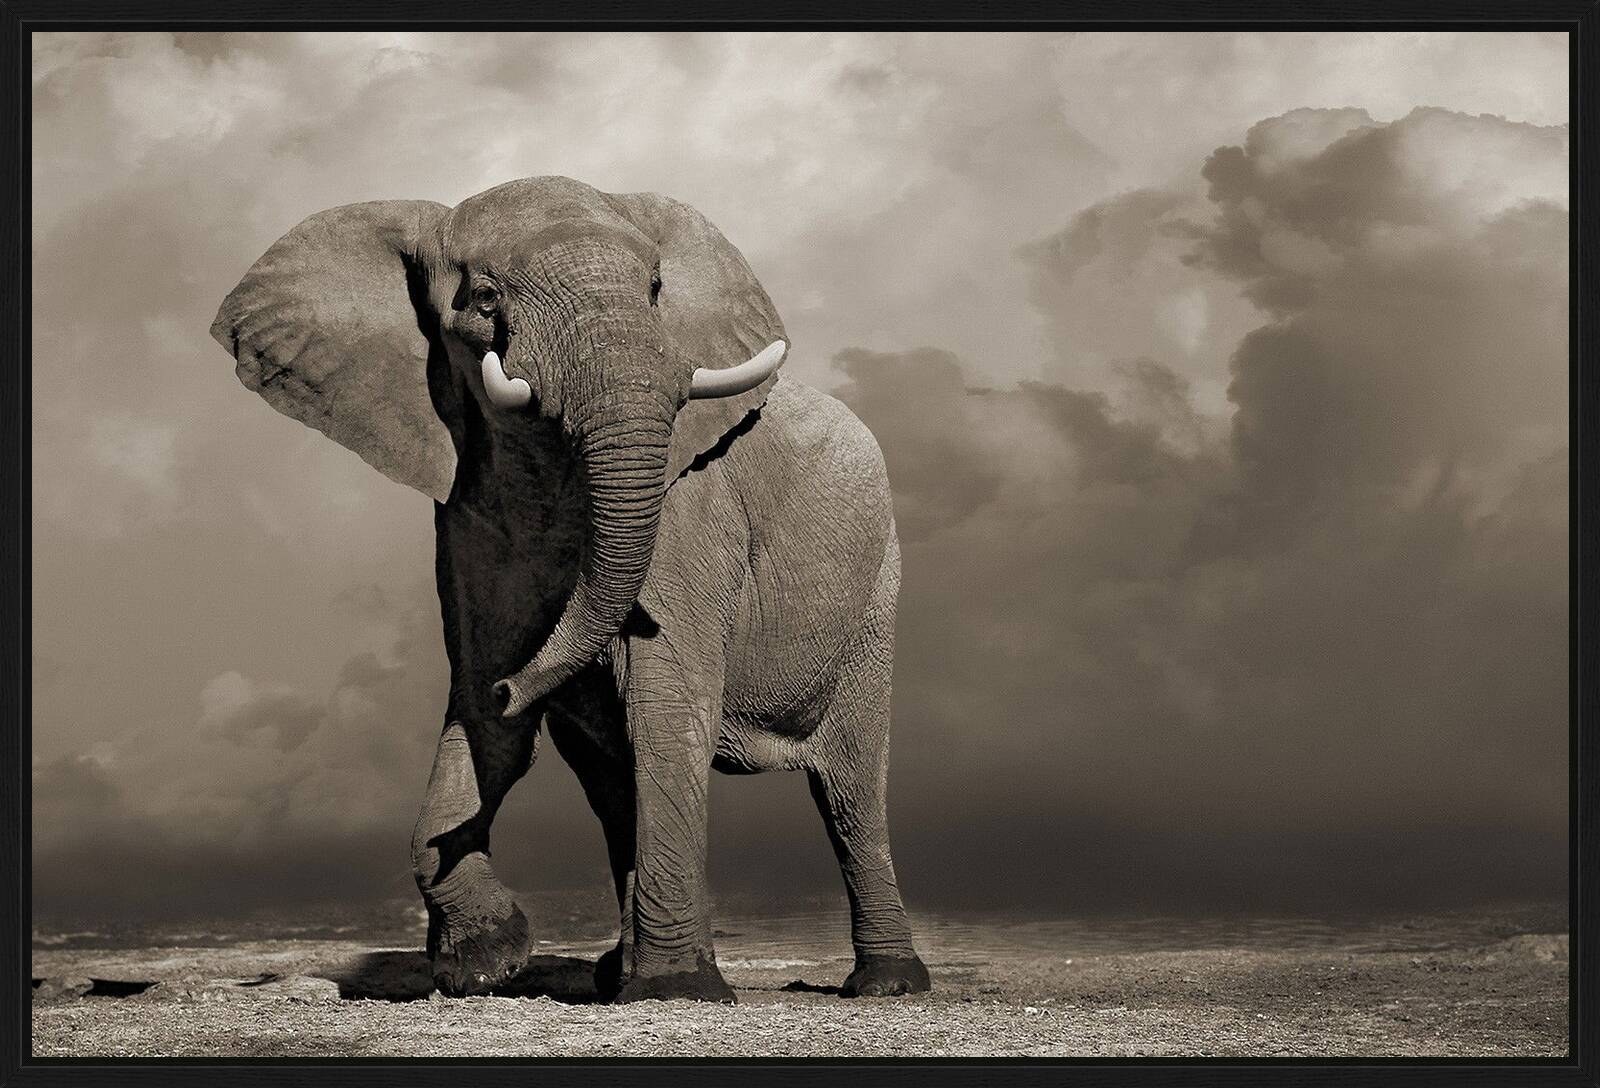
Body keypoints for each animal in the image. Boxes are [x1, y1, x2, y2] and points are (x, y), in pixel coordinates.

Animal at [209, 175, 931, 1003]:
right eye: (484, 299)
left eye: (656, 290)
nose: (513, 687)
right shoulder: (466, 521)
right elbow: (485, 726)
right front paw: (487, 962)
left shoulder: (690, 513)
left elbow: (666, 705)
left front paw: (675, 991)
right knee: (613, 786)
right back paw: (617, 973)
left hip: (876, 592)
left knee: (849, 792)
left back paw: (886, 983)